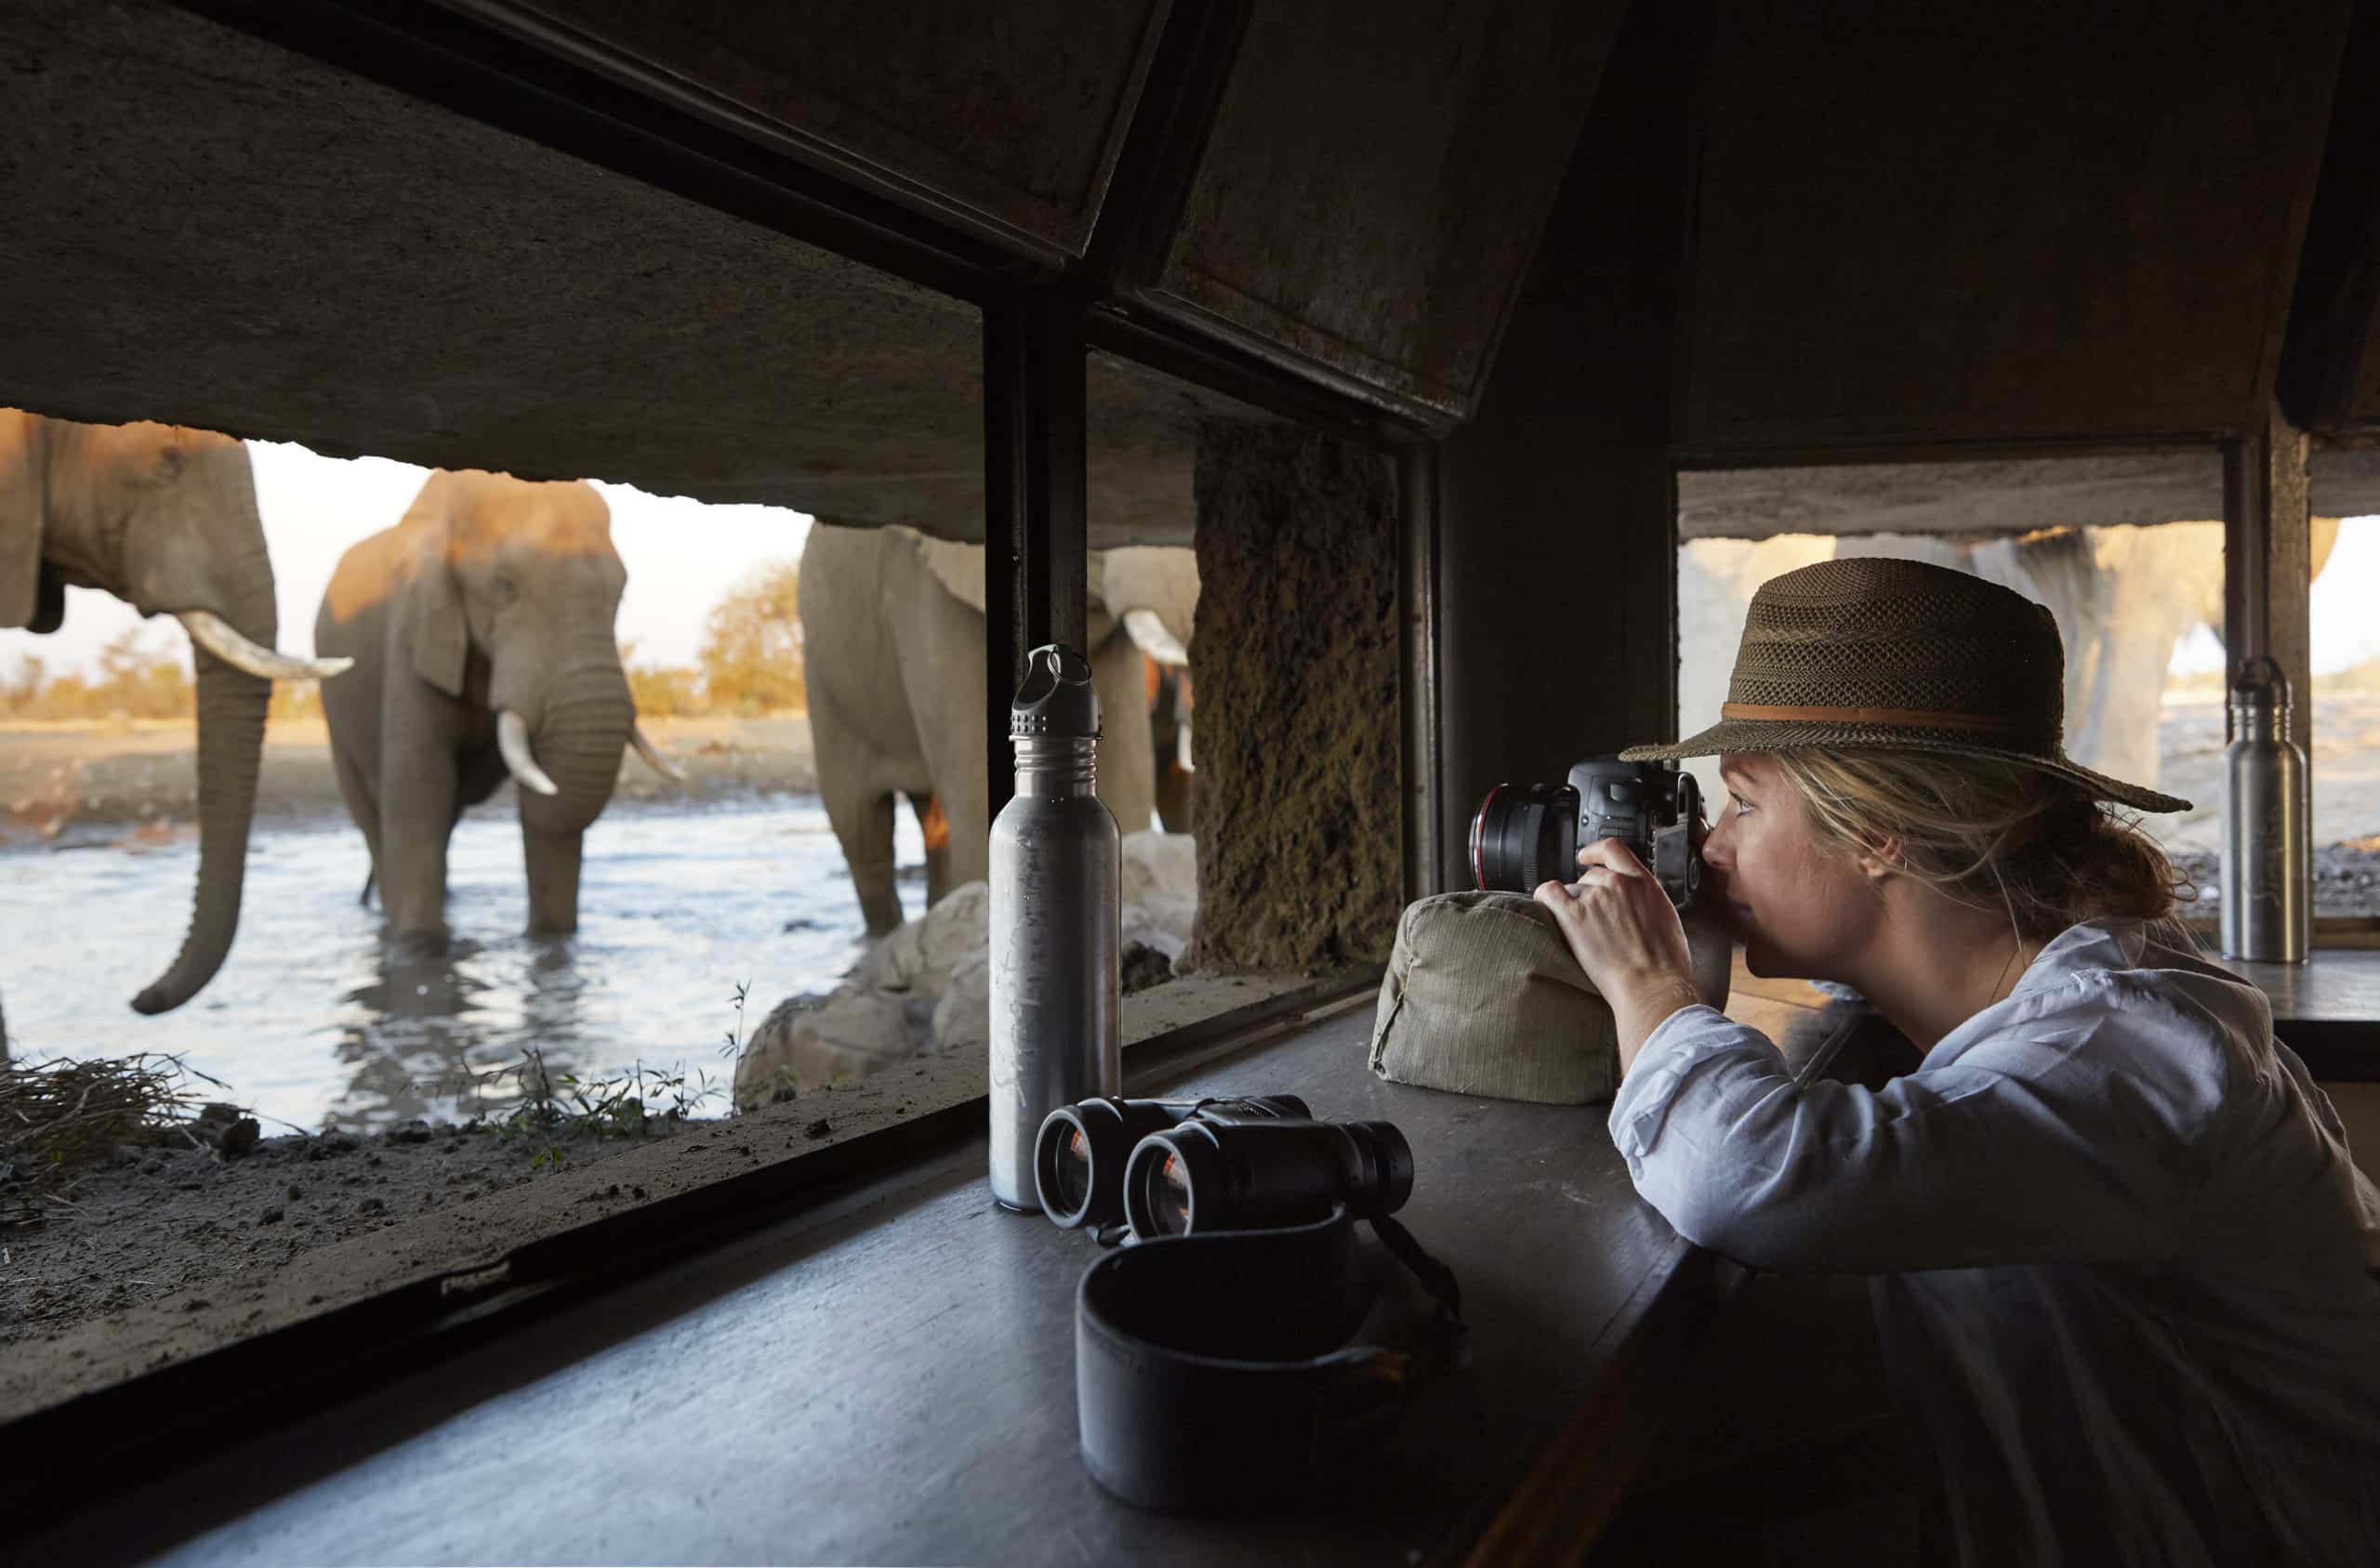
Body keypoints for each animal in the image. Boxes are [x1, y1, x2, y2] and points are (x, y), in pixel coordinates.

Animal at [311, 468, 685, 946]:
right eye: (505, 588)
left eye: (620, 594)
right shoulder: (414, 634)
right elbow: (419, 790)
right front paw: (418, 946)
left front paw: (551, 943)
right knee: (372, 815)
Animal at [800, 520, 1199, 937]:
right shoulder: (928, 593)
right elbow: (978, 790)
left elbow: (1125, 772)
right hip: (826, 683)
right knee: (863, 831)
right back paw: (884, 937)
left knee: (932, 827)